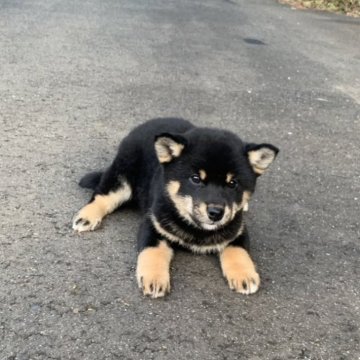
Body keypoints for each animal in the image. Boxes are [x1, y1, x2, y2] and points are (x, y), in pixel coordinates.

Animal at [72, 118, 278, 298]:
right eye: (196, 179)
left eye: (233, 183)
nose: (216, 213)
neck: (198, 231)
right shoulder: (153, 224)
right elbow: (152, 252)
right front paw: (154, 278)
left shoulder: (237, 229)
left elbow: (238, 251)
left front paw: (244, 274)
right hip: (122, 175)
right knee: (102, 195)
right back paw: (86, 216)